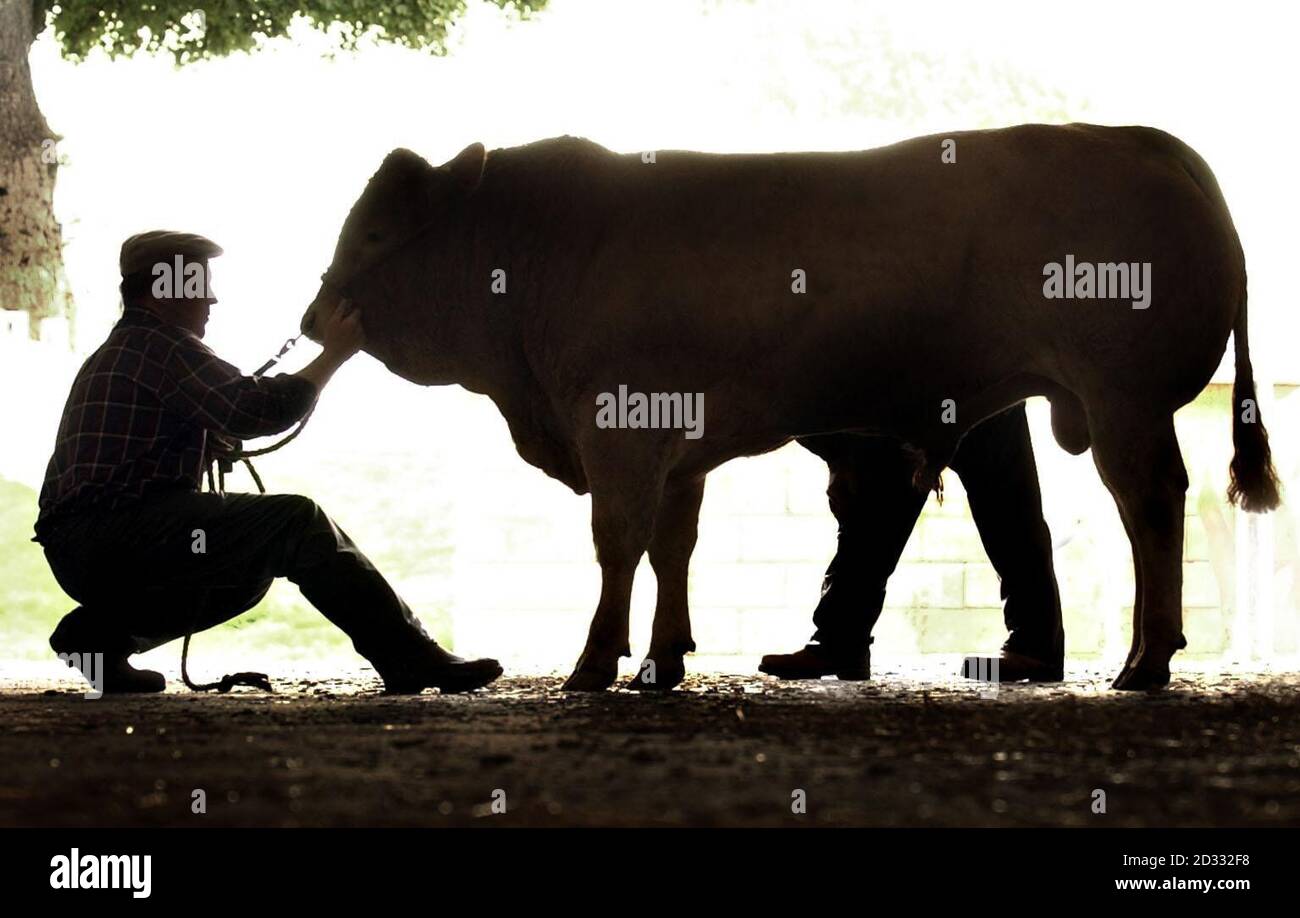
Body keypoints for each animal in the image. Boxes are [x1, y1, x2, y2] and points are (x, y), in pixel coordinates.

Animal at [301, 124, 1279, 691]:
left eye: (378, 232)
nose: (315, 318)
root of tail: (1142, 139)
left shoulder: (617, 429)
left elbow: (618, 545)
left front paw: (593, 663)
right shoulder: (675, 441)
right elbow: (673, 547)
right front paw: (664, 657)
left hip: (1124, 400)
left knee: (1149, 506)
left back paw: (1145, 661)